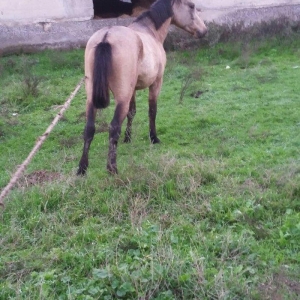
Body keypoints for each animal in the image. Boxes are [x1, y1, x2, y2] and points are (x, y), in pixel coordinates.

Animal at [77, 0, 207, 175]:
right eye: (191, 6)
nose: (204, 30)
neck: (150, 31)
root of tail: (106, 37)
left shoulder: (132, 89)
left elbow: (132, 113)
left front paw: (128, 138)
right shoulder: (156, 83)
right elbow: (152, 111)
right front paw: (154, 138)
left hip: (91, 98)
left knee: (89, 128)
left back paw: (82, 168)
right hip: (121, 99)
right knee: (113, 127)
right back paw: (112, 168)